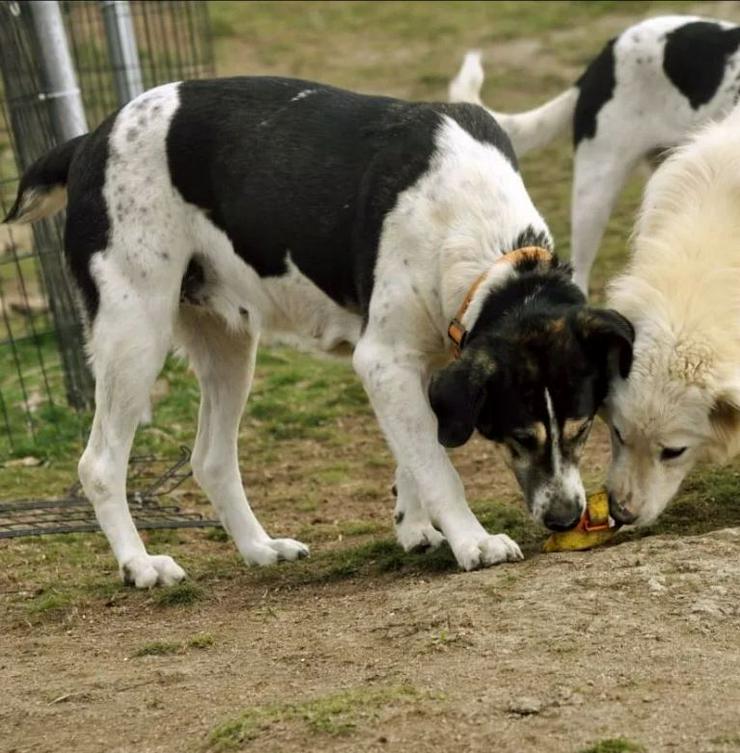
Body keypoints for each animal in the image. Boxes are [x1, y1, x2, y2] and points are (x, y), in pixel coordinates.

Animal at [4, 76, 632, 584]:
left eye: (582, 429)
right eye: (521, 436)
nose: (564, 517)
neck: (483, 243)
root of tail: (91, 139)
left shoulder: (422, 361)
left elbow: (416, 450)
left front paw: (413, 526)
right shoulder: (383, 359)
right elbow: (437, 464)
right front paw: (473, 542)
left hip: (228, 347)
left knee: (211, 458)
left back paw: (259, 549)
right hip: (134, 331)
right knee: (100, 464)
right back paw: (140, 565)